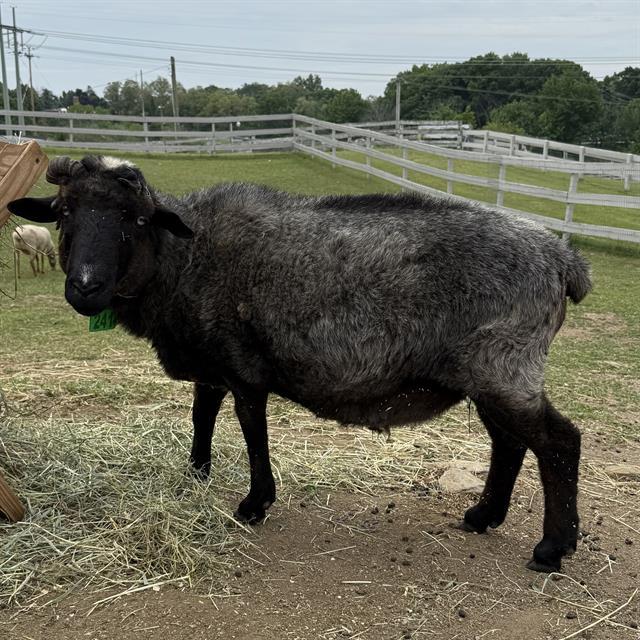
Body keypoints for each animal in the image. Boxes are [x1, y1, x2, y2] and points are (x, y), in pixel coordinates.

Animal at [8, 155, 593, 573]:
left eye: (134, 217)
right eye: (64, 213)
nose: (85, 287)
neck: (184, 260)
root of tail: (563, 260)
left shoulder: (243, 363)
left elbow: (251, 428)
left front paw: (254, 504)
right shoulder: (210, 361)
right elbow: (201, 415)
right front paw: (195, 473)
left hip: (504, 364)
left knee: (559, 442)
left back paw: (552, 549)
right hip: (486, 374)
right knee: (510, 442)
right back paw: (484, 516)